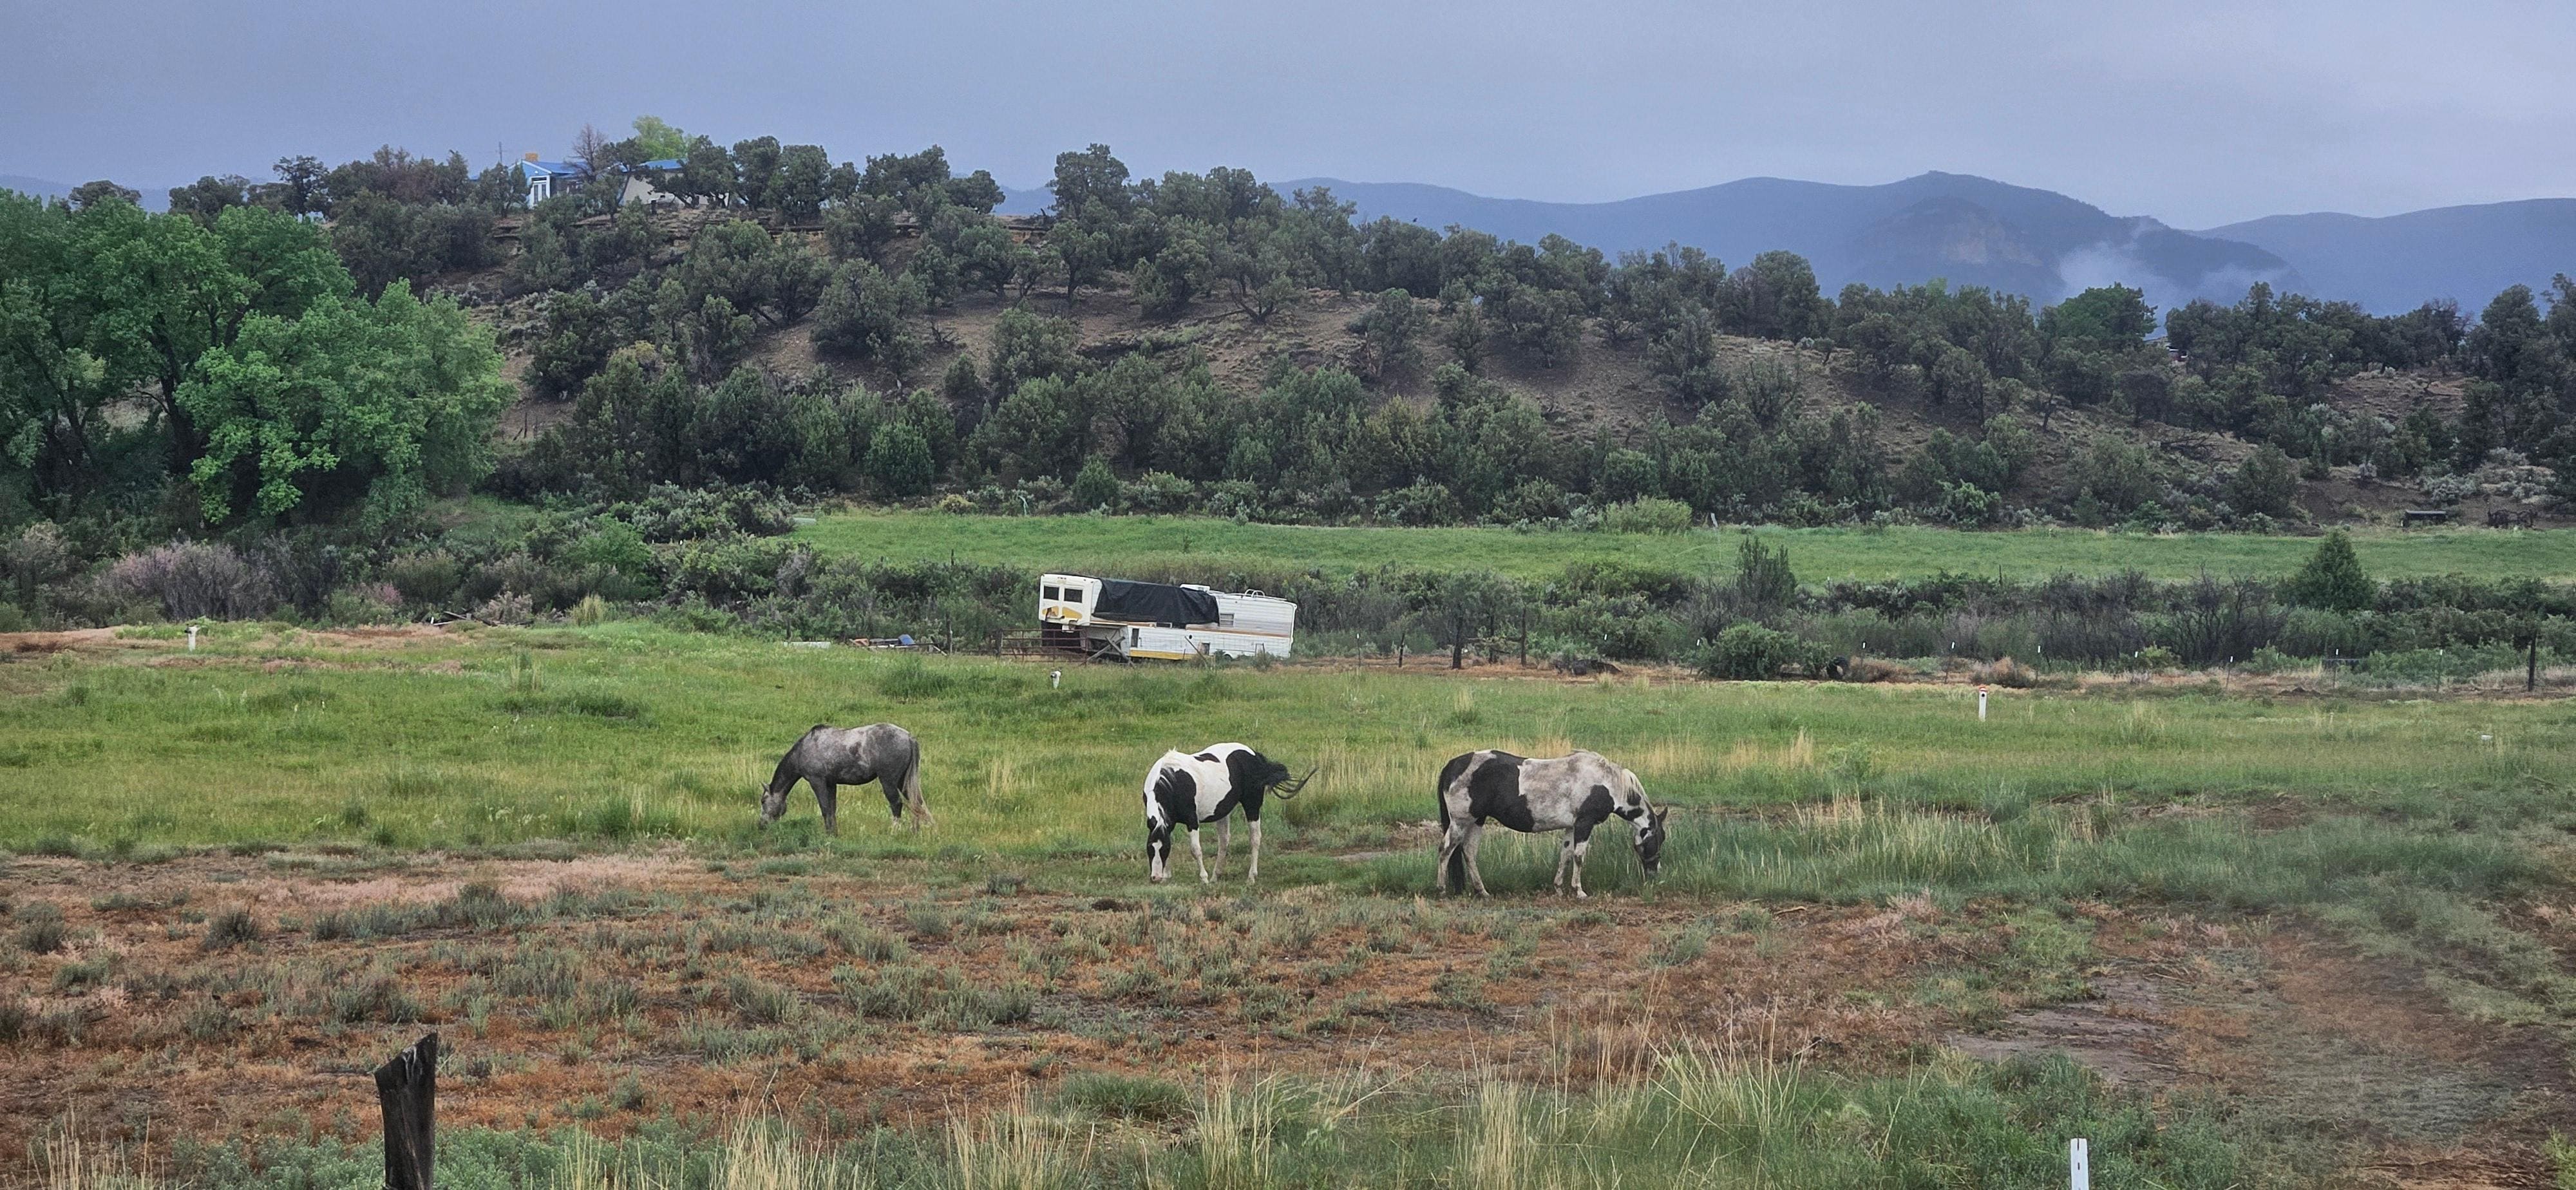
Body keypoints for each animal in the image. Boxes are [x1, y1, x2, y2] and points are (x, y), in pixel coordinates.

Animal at [759, 723, 931, 835]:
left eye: (763, 801)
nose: (761, 825)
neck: (804, 749)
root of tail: (909, 737)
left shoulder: (817, 782)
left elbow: (825, 808)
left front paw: (829, 833)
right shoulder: (831, 784)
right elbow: (832, 809)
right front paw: (834, 832)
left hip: (889, 781)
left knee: (897, 804)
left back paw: (894, 832)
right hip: (904, 782)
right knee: (917, 802)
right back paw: (918, 830)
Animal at [1142, 744, 1313, 884]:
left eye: (1163, 850)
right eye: (1150, 848)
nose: (1155, 877)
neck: (1173, 782)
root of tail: (1255, 756)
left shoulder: (1192, 821)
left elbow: (1195, 849)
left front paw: (1204, 879)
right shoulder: (1168, 822)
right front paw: (1167, 876)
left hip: (1252, 806)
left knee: (1255, 838)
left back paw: (1251, 877)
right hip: (1224, 811)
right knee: (1224, 841)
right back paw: (1216, 876)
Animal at [1434, 749, 1667, 897]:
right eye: (1659, 838)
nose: (1655, 873)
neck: (1606, 783)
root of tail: (1453, 765)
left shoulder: (1571, 826)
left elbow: (1565, 855)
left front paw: (1559, 888)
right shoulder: (1585, 823)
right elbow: (1579, 857)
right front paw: (1579, 891)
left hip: (1477, 821)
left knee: (1469, 853)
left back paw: (1482, 892)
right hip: (1461, 822)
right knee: (1446, 850)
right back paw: (1442, 890)